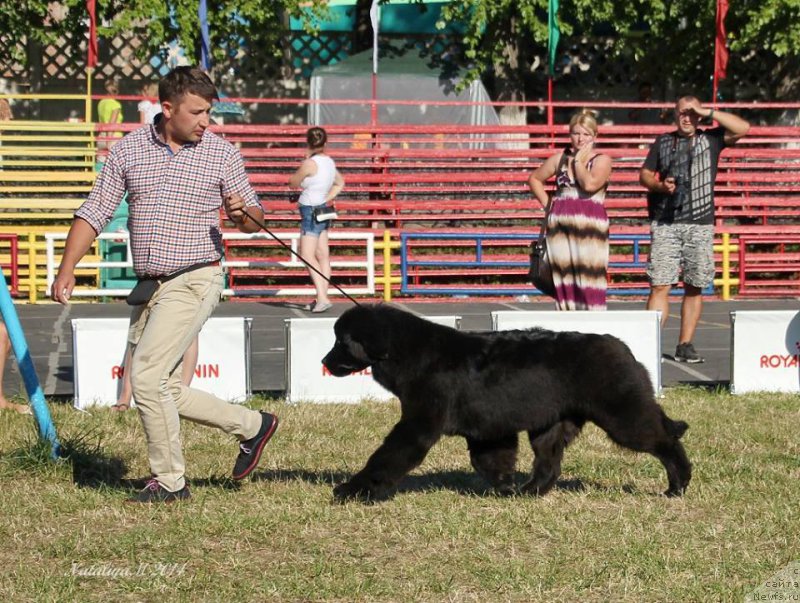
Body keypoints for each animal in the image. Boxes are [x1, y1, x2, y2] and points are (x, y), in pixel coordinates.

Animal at [322, 306, 692, 500]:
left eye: (341, 342)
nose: (324, 361)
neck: (408, 352)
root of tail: (620, 346)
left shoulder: (419, 423)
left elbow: (386, 457)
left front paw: (353, 490)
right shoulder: (487, 429)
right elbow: (490, 461)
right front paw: (505, 488)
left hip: (622, 415)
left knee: (665, 440)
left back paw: (677, 485)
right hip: (550, 425)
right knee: (549, 463)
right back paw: (530, 491)